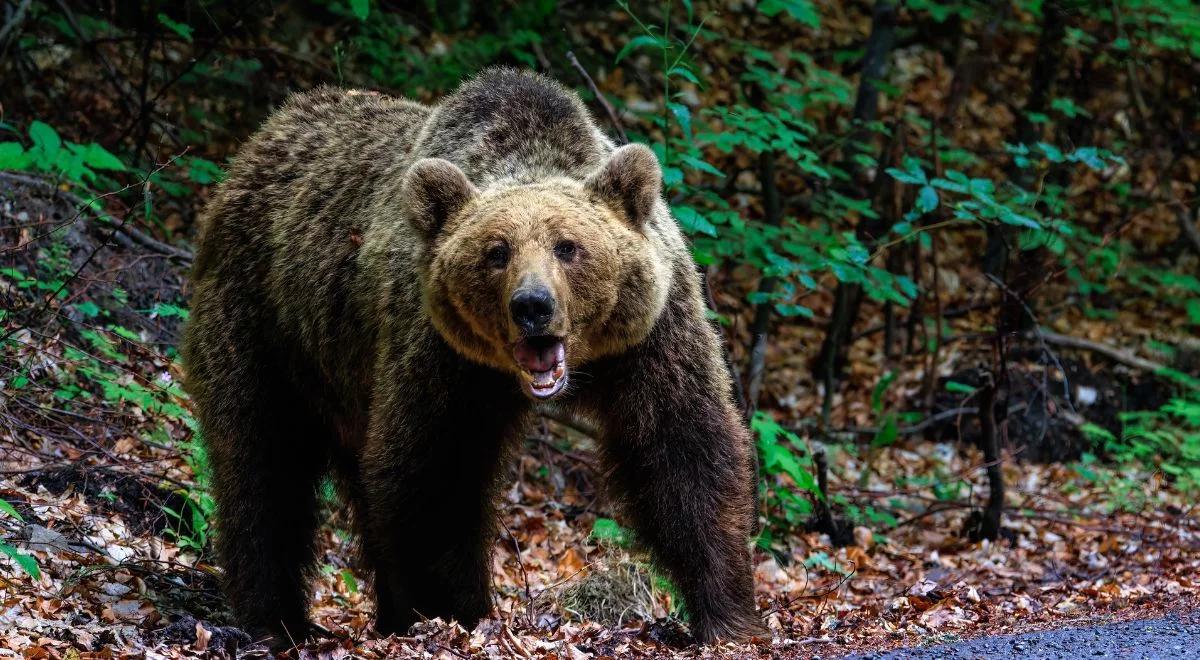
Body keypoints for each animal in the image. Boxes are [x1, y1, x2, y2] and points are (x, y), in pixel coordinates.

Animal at [180, 67, 758, 648]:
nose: (532, 306)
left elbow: (683, 449)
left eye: (568, 246)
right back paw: (276, 619)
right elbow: (435, 473)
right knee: (262, 463)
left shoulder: (649, 337)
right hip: (265, 326)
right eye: (497, 251)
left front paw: (725, 612)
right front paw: (456, 612)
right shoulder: (441, 354)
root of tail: (259, 142)